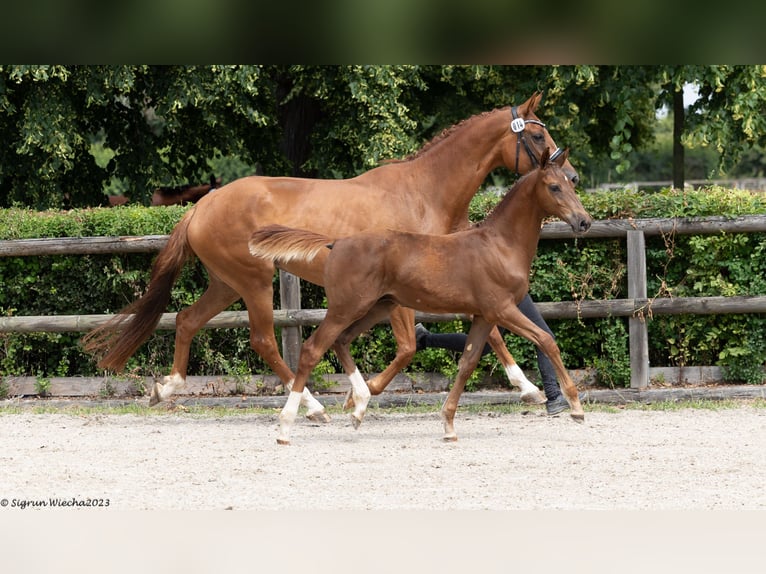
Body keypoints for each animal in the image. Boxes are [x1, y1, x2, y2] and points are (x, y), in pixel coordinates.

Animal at [82, 92, 577, 422]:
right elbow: (409, 346)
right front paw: (358, 396)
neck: (423, 193)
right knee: (263, 341)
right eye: (537, 134)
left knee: (187, 320)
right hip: (255, 281)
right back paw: (312, 405)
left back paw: (168, 387)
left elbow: (487, 335)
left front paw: (529, 389)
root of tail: (203, 205)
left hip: (226, 283)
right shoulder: (407, 295)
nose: (570, 174)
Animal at [248, 148, 592, 444]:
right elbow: (546, 340)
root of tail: (337, 242)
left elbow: (467, 362)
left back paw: (359, 406)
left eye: (571, 185)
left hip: (376, 306)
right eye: (554, 187)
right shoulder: (502, 308)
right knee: (312, 349)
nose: (584, 221)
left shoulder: (484, 315)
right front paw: (575, 407)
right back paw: (289, 425)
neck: (499, 244)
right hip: (347, 307)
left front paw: (449, 424)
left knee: (341, 341)